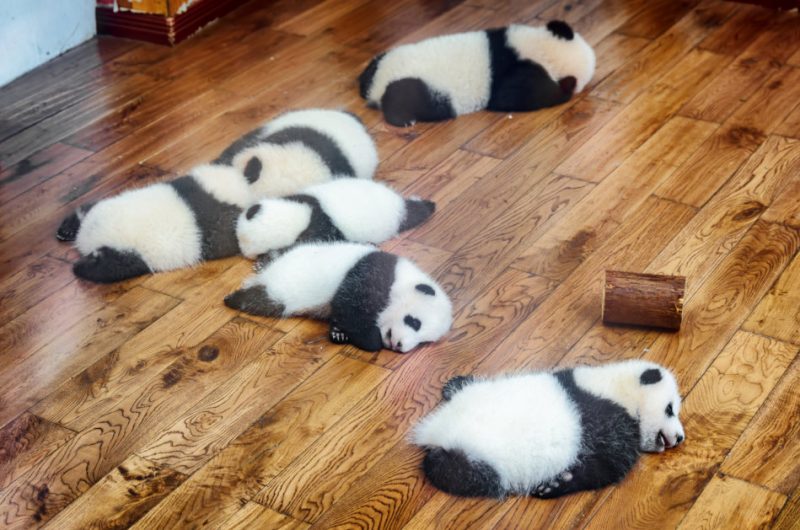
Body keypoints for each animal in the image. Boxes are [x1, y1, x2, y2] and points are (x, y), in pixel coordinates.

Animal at [223, 242, 453, 353]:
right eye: (414, 322)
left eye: (424, 342)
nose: (399, 345)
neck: (403, 280)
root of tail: (265, 275)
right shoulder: (373, 274)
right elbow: (352, 307)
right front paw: (371, 339)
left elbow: (342, 314)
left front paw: (338, 333)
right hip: (282, 289)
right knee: (260, 301)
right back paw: (235, 296)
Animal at [358, 21, 595, 126]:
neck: (544, 53)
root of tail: (377, 85)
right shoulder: (524, 77)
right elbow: (512, 96)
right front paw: (562, 94)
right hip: (428, 90)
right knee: (410, 97)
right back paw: (402, 118)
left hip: (385, 57)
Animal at [412, 360, 685, 498]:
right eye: (670, 409)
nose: (681, 437)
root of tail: (437, 430)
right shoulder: (609, 419)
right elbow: (607, 466)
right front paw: (554, 485)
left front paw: (555, 483)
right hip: (480, 460)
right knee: (457, 472)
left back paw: (454, 385)